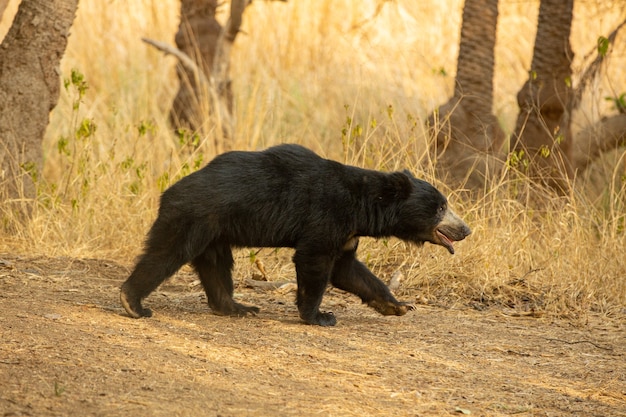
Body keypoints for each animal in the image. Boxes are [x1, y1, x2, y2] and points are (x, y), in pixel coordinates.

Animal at [119, 143, 468, 324]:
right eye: (440, 208)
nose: (465, 229)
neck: (363, 206)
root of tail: (169, 191)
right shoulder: (328, 217)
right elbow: (314, 260)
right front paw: (320, 315)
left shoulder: (348, 234)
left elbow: (349, 271)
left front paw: (398, 305)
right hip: (193, 217)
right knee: (166, 253)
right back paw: (134, 303)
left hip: (215, 231)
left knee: (216, 267)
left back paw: (237, 307)